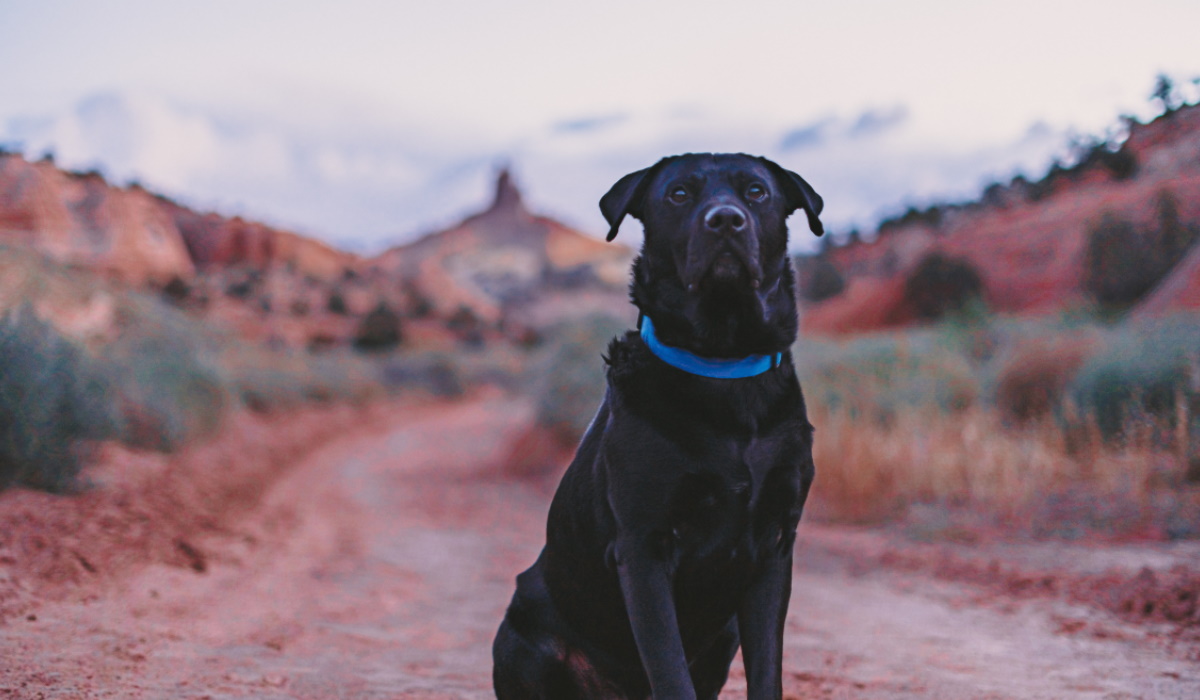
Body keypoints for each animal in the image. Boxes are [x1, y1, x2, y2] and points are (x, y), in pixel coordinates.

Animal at [492, 153, 820, 700]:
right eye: (679, 194)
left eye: (756, 191)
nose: (725, 220)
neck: (722, 366)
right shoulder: (644, 548)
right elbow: (668, 669)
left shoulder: (776, 544)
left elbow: (767, 671)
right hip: (523, 634)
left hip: (725, 633)